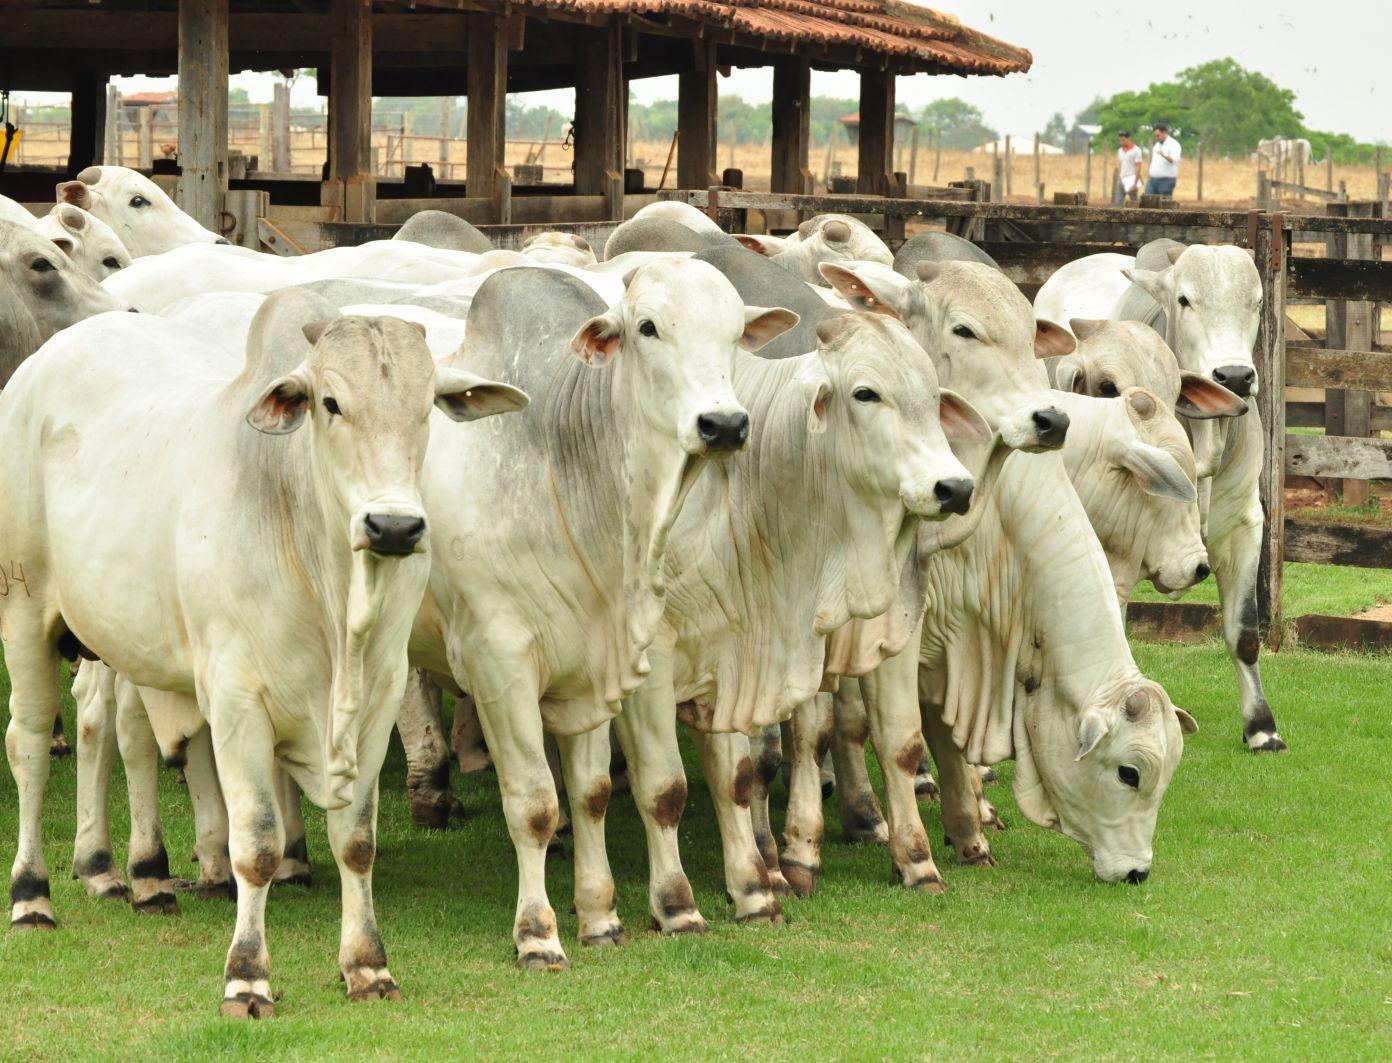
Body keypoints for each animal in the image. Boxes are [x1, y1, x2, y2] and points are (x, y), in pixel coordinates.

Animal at [0, 288, 526, 1012]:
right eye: (330, 402)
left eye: (427, 408)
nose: (393, 526)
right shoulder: (237, 702)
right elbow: (256, 843)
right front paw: (247, 972)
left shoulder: (377, 703)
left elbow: (356, 842)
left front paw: (367, 964)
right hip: (24, 611)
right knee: (27, 742)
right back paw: (32, 894)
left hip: (129, 639)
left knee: (120, 732)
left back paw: (139, 876)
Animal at [403, 261, 785, 968]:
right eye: (648, 327)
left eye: (735, 331)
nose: (724, 425)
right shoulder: (501, 668)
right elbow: (535, 803)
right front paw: (539, 933)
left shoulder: (601, 664)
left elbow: (602, 793)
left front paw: (604, 915)